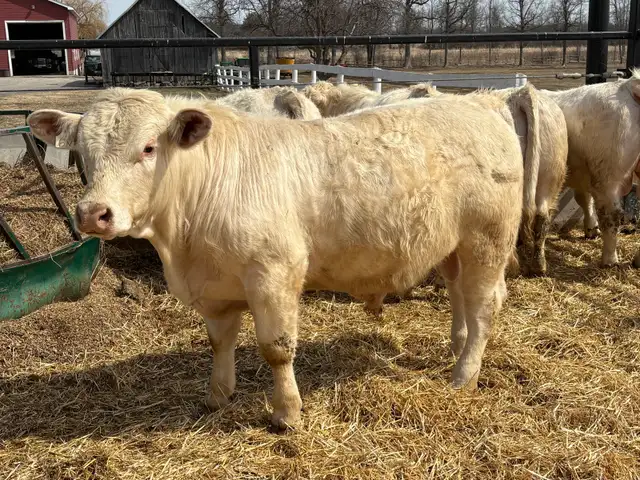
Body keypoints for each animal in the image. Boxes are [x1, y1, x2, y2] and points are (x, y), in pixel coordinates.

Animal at [28, 87, 524, 429]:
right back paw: (458, 347)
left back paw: (464, 374)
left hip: (488, 240)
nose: (93, 213)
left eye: (149, 147)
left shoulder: (274, 273)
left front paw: (287, 413)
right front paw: (218, 395)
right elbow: (220, 342)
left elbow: (276, 348)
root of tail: (480, 104)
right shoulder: (215, 286)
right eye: (82, 153)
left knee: (484, 305)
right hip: (453, 246)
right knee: (460, 296)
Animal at [541, 70, 640, 267]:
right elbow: (585, 200)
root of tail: (629, 85)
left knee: (611, 214)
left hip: (608, 175)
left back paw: (609, 260)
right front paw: (591, 229)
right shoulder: (581, 173)